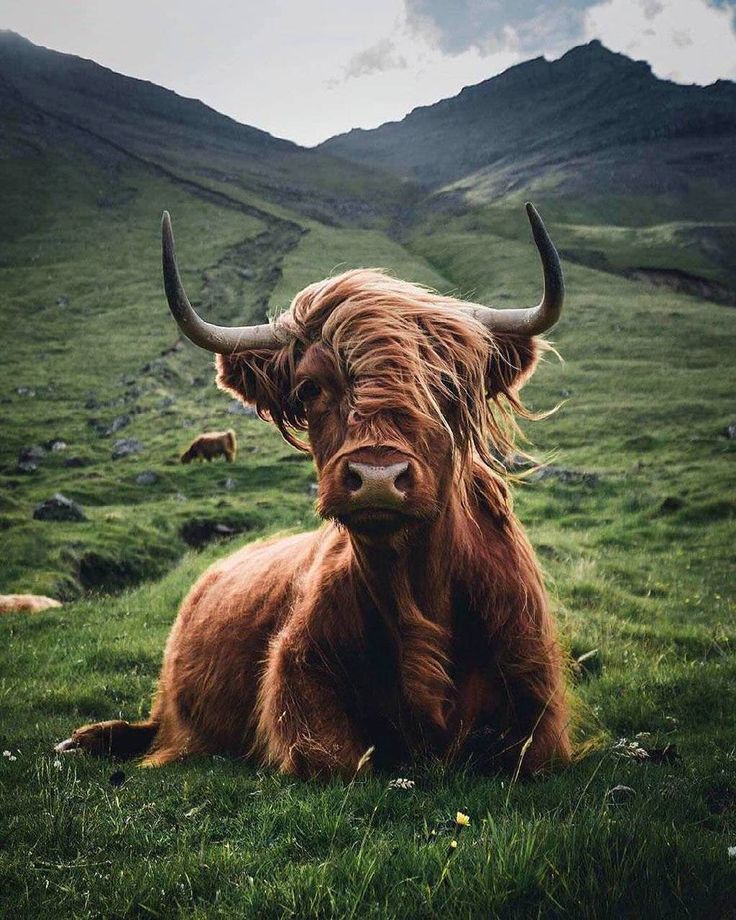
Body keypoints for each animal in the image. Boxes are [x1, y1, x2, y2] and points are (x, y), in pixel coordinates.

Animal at [59, 205, 576, 780]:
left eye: (448, 386)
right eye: (310, 388)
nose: (377, 476)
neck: (415, 592)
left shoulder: (535, 704)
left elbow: (519, 753)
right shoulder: (298, 681)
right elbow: (337, 760)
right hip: (169, 700)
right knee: (152, 727)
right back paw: (83, 740)